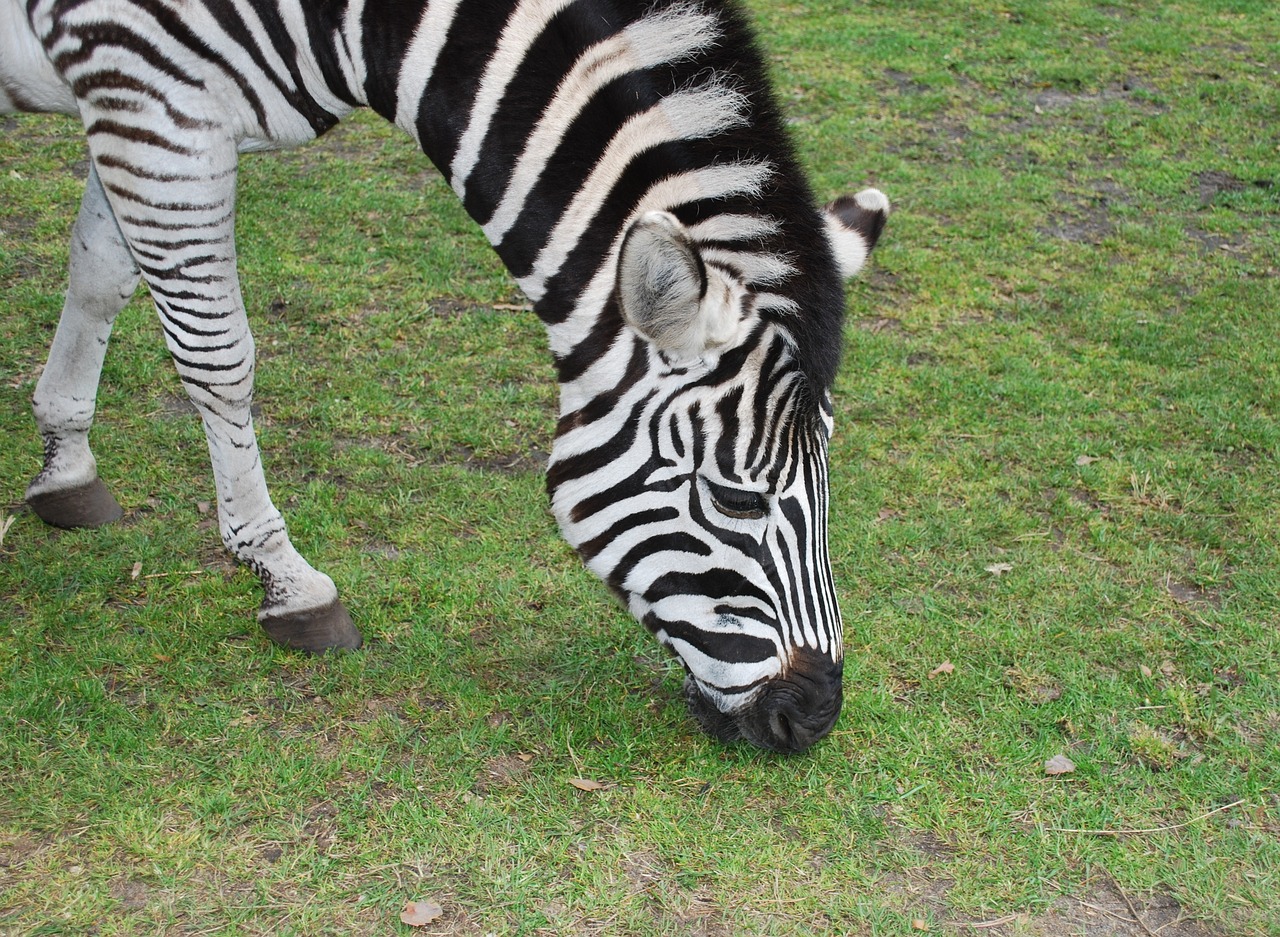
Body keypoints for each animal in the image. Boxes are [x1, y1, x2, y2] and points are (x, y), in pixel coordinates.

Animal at [5, 0, 890, 752]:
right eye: (736, 499)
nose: (815, 716)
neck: (355, 25)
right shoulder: (151, 95)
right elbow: (218, 356)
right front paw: (285, 578)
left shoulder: (130, 106)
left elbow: (99, 275)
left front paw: (66, 464)